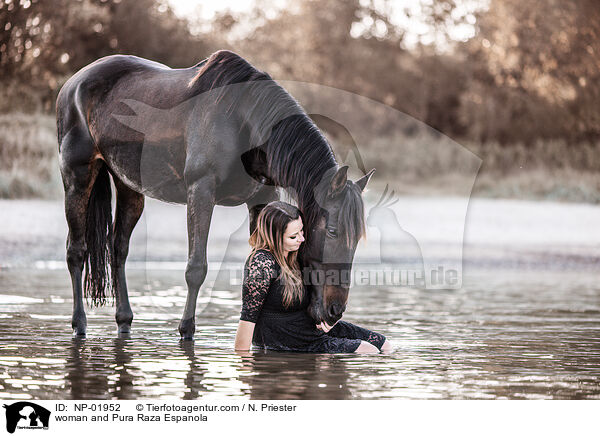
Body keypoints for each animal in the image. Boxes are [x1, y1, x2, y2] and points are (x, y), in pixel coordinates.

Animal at [57, 49, 376, 338]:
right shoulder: (201, 192)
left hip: (129, 188)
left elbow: (257, 263)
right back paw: (79, 324)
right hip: (77, 178)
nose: (335, 311)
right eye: (332, 231)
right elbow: (196, 267)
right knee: (76, 251)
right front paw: (186, 330)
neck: (242, 121)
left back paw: (124, 321)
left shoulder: (261, 200)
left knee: (118, 248)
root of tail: (73, 83)